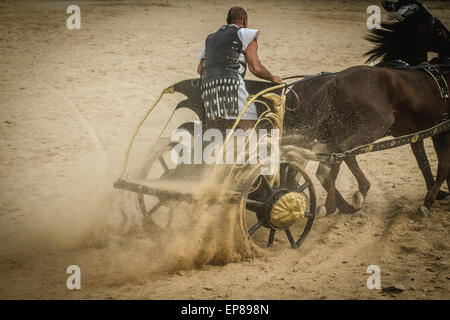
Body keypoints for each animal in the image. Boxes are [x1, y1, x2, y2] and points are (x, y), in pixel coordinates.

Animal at [284, 0, 450, 216]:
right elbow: (437, 164)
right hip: (370, 128)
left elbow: (424, 162)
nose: (448, 48)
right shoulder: (432, 131)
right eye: (438, 28)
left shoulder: (415, 134)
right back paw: (346, 199)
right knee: (340, 155)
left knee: (317, 165)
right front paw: (433, 197)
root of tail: (335, 81)